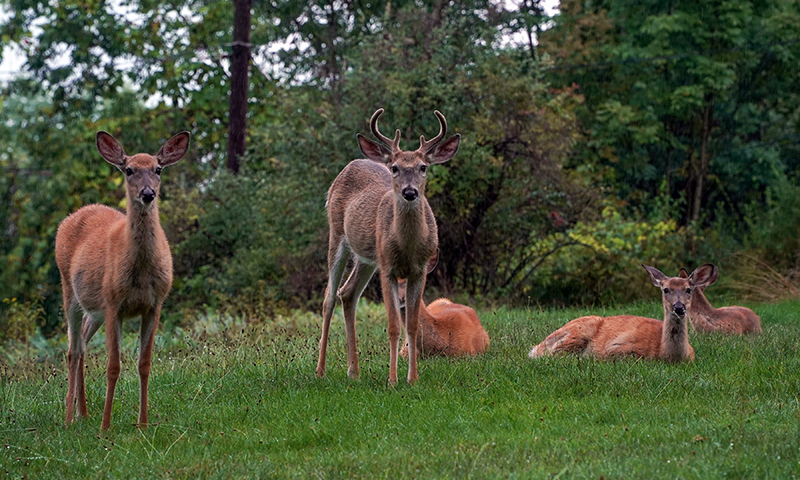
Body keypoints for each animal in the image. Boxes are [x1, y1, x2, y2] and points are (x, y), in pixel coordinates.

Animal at [55, 130, 190, 430]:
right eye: (129, 170)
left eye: (158, 169)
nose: (148, 194)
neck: (140, 271)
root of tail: (73, 215)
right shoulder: (114, 303)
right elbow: (113, 366)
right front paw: (106, 426)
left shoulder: (154, 304)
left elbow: (144, 364)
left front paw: (143, 423)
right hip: (69, 289)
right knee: (72, 350)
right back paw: (69, 417)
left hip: (95, 310)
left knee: (82, 342)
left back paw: (83, 413)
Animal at [316, 108, 460, 385]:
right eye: (395, 168)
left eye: (423, 167)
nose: (409, 192)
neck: (407, 248)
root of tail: (351, 164)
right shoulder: (388, 268)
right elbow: (393, 326)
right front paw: (393, 380)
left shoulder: (420, 270)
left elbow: (412, 325)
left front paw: (412, 379)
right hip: (337, 234)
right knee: (328, 297)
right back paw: (320, 370)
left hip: (367, 256)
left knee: (347, 293)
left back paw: (354, 371)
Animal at [528, 264, 717, 362]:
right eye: (665, 289)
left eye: (688, 290)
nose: (679, 307)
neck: (666, 353)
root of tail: (537, 346)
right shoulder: (617, 347)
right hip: (579, 331)